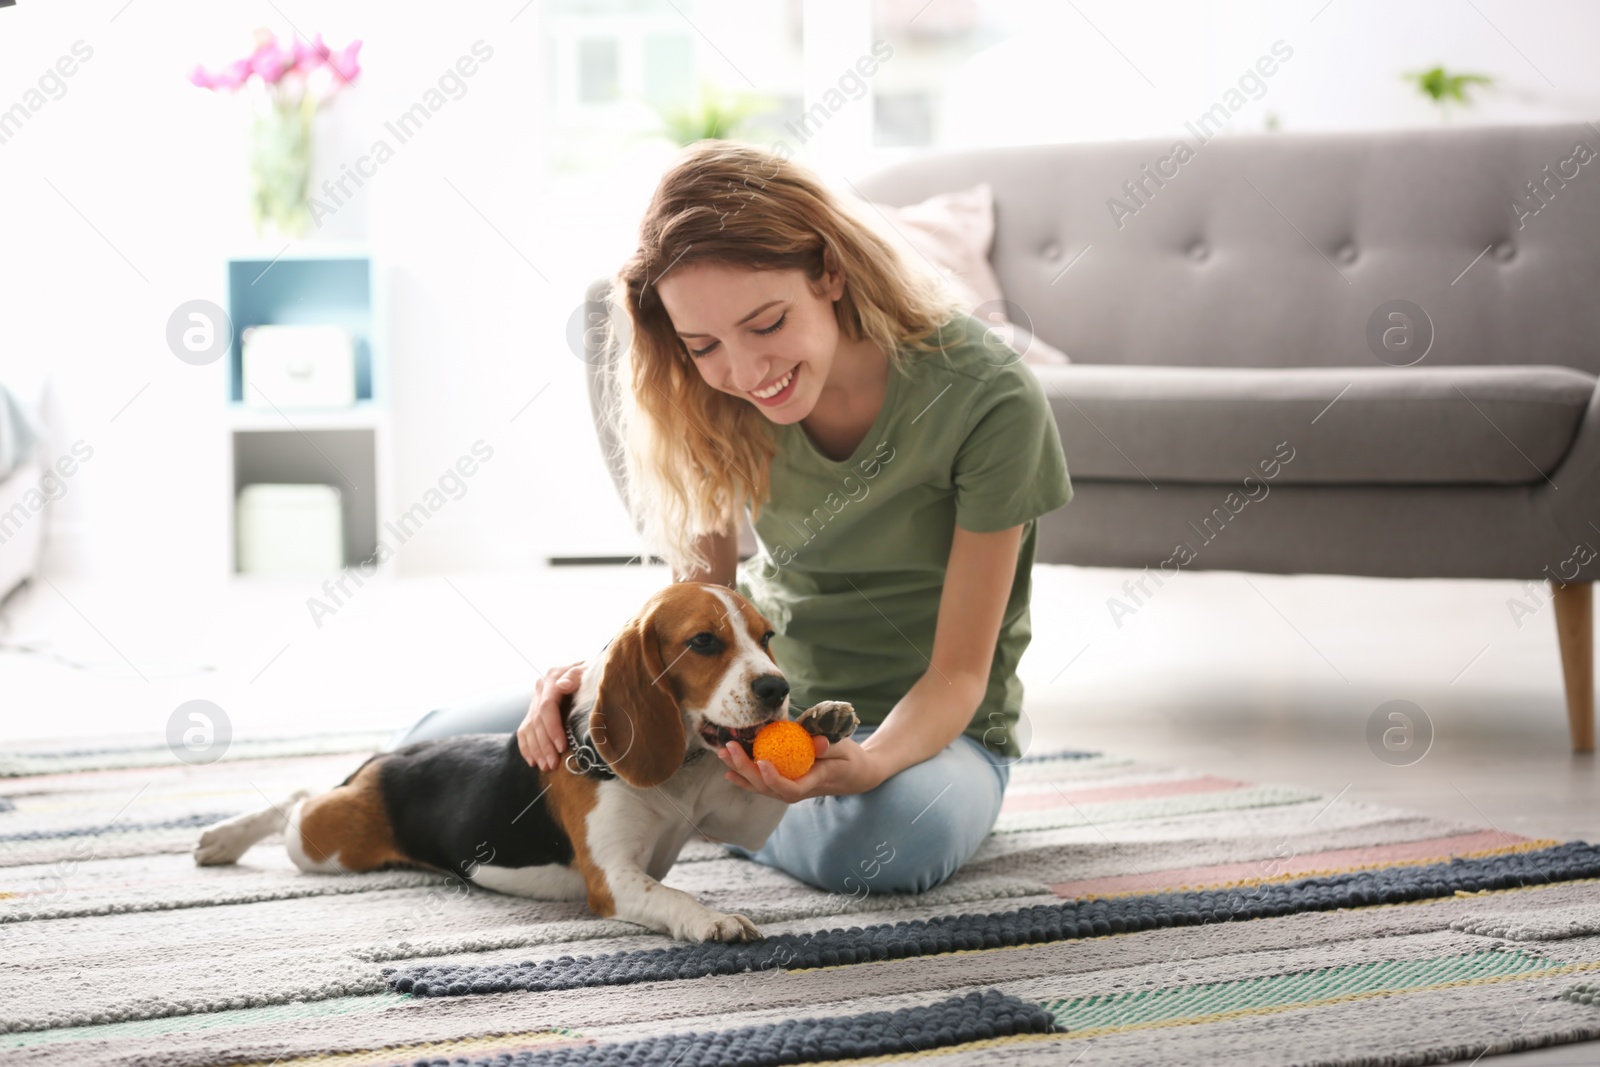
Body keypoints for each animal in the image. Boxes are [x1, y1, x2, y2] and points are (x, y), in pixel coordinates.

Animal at [192, 585, 857, 940]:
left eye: (766, 637)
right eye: (703, 642)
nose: (778, 689)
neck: (684, 771)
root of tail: (388, 758)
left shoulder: (741, 818)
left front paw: (823, 720)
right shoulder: (615, 880)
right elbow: (674, 897)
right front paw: (711, 920)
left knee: (302, 794)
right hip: (326, 846)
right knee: (294, 804)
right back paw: (224, 838)